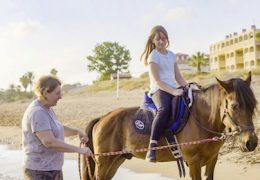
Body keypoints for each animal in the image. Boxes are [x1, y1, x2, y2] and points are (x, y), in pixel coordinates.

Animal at [81, 72, 258, 179]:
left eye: (253, 105)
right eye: (234, 106)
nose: (251, 142)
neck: (200, 119)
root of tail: (102, 118)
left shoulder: (212, 160)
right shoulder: (194, 163)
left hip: (115, 161)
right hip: (104, 163)